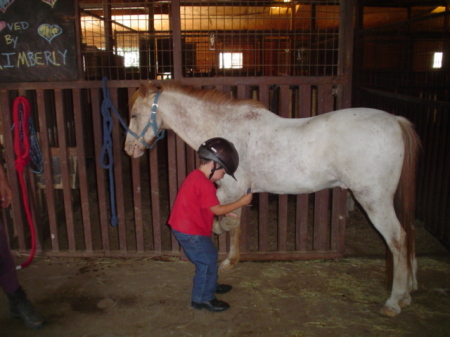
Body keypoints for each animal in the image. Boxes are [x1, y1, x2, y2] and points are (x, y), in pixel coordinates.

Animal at [122, 80, 418, 316]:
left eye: (135, 114)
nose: (129, 150)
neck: (226, 129)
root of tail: (395, 120)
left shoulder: (229, 190)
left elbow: (227, 223)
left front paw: (224, 251)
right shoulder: (237, 193)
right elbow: (235, 224)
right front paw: (231, 260)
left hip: (373, 200)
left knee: (397, 239)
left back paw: (394, 302)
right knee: (407, 236)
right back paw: (407, 293)